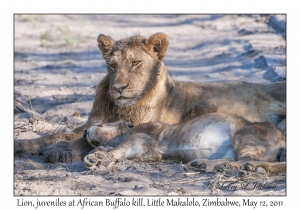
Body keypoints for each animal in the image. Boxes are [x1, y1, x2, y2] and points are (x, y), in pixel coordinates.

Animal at [14, 32, 286, 171]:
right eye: (112, 65)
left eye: (135, 63)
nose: (119, 88)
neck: (120, 107)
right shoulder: (92, 122)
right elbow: (54, 135)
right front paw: (23, 144)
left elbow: (79, 142)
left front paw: (60, 152)